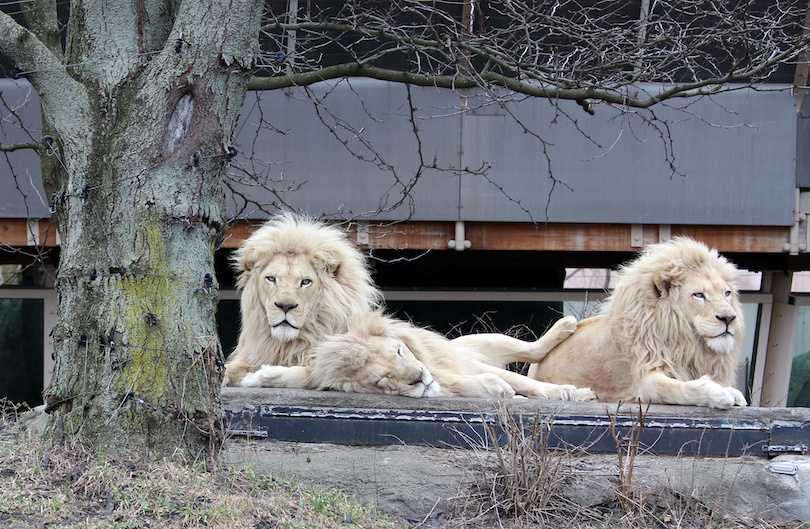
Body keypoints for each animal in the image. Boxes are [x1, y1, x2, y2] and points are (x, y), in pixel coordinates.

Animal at [240, 308, 592, 398]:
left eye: (399, 351)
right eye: (382, 379)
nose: (420, 377)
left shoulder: (458, 364)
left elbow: (529, 383)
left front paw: (570, 393)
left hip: (485, 343)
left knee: (531, 350)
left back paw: (566, 326)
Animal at [524, 236, 744, 408]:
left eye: (727, 293)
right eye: (699, 295)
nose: (729, 318)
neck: (688, 344)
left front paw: (734, 393)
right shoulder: (645, 378)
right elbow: (681, 389)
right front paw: (719, 393)